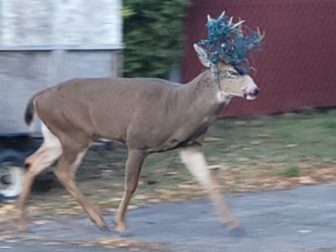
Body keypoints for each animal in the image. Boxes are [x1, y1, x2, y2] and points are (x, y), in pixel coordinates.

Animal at [18, 12, 264, 234]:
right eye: (231, 72)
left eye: (246, 69)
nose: (254, 90)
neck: (179, 107)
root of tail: (39, 96)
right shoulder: (137, 141)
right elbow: (131, 184)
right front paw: (120, 223)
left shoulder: (190, 145)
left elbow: (209, 180)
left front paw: (233, 224)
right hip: (76, 133)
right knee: (62, 171)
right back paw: (100, 221)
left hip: (55, 135)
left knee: (33, 162)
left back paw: (24, 222)